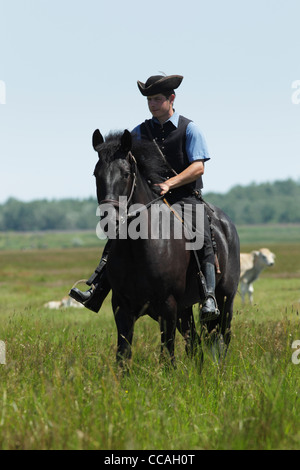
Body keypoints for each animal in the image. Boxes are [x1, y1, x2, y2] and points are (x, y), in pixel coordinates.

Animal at [92, 129, 240, 368]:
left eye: (125, 174)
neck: (139, 248)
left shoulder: (167, 306)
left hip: (225, 301)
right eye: (96, 174)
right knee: (195, 345)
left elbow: (167, 357)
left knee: (222, 341)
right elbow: (123, 356)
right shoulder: (122, 307)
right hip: (185, 311)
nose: (109, 220)